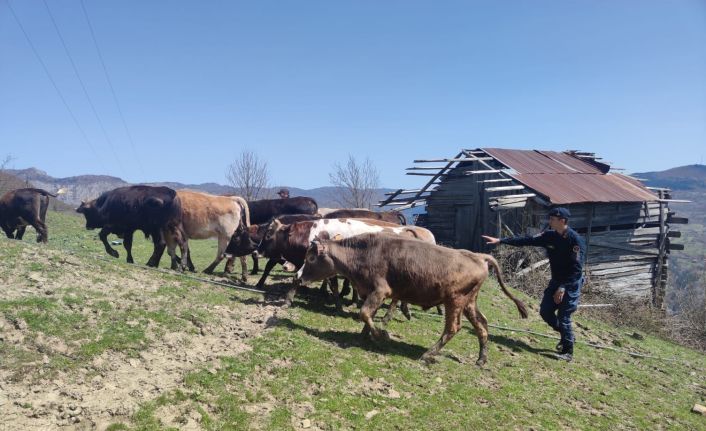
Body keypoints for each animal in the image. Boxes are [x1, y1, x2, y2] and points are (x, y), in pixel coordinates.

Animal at [294, 235, 524, 366]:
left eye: (311, 258)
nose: (299, 276)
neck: (364, 253)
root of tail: (478, 256)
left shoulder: (381, 291)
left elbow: (365, 313)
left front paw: (381, 335)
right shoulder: (372, 293)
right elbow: (368, 314)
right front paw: (364, 336)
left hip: (455, 301)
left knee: (453, 328)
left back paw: (428, 354)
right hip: (469, 303)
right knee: (482, 326)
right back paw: (481, 359)